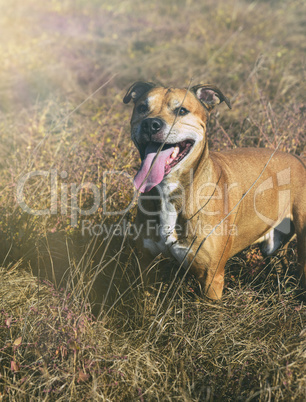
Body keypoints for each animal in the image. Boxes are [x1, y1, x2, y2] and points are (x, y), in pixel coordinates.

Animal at [123, 81, 304, 298]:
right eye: (142, 107)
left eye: (181, 110)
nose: (151, 124)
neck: (170, 190)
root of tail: (298, 159)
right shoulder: (146, 268)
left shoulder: (211, 279)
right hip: (273, 246)